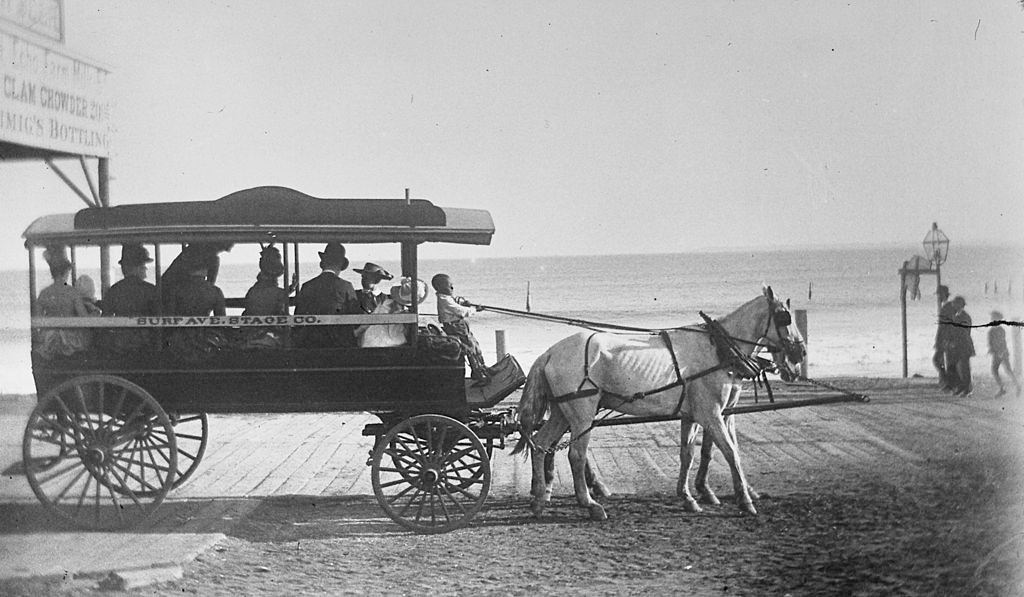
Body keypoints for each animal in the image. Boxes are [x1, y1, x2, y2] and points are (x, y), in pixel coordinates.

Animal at [516, 286, 802, 520]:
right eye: (784, 316)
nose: (800, 353)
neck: (717, 348)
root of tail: (549, 352)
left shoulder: (692, 415)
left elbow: (688, 454)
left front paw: (688, 497)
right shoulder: (711, 414)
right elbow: (731, 452)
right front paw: (744, 501)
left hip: (562, 412)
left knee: (541, 444)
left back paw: (540, 500)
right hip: (581, 414)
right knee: (576, 454)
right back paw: (590, 504)